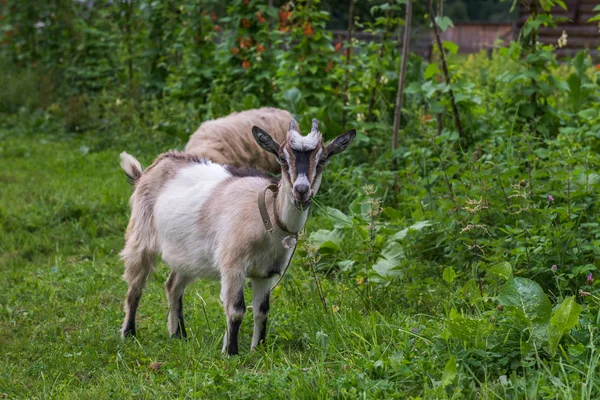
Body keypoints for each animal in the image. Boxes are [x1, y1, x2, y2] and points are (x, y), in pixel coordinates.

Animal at [119, 118, 354, 354]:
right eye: (282, 158)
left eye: (322, 159)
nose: (302, 190)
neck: (269, 216)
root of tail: (149, 170)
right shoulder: (233, 265)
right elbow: (236, 309)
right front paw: (231, 352)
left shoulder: (266, 272)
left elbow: (262, 310)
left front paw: (258, 349)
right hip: (141, 236)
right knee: (135, 286)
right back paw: (129, 333)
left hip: (187, 253)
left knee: (173, 285)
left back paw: (178, 335)